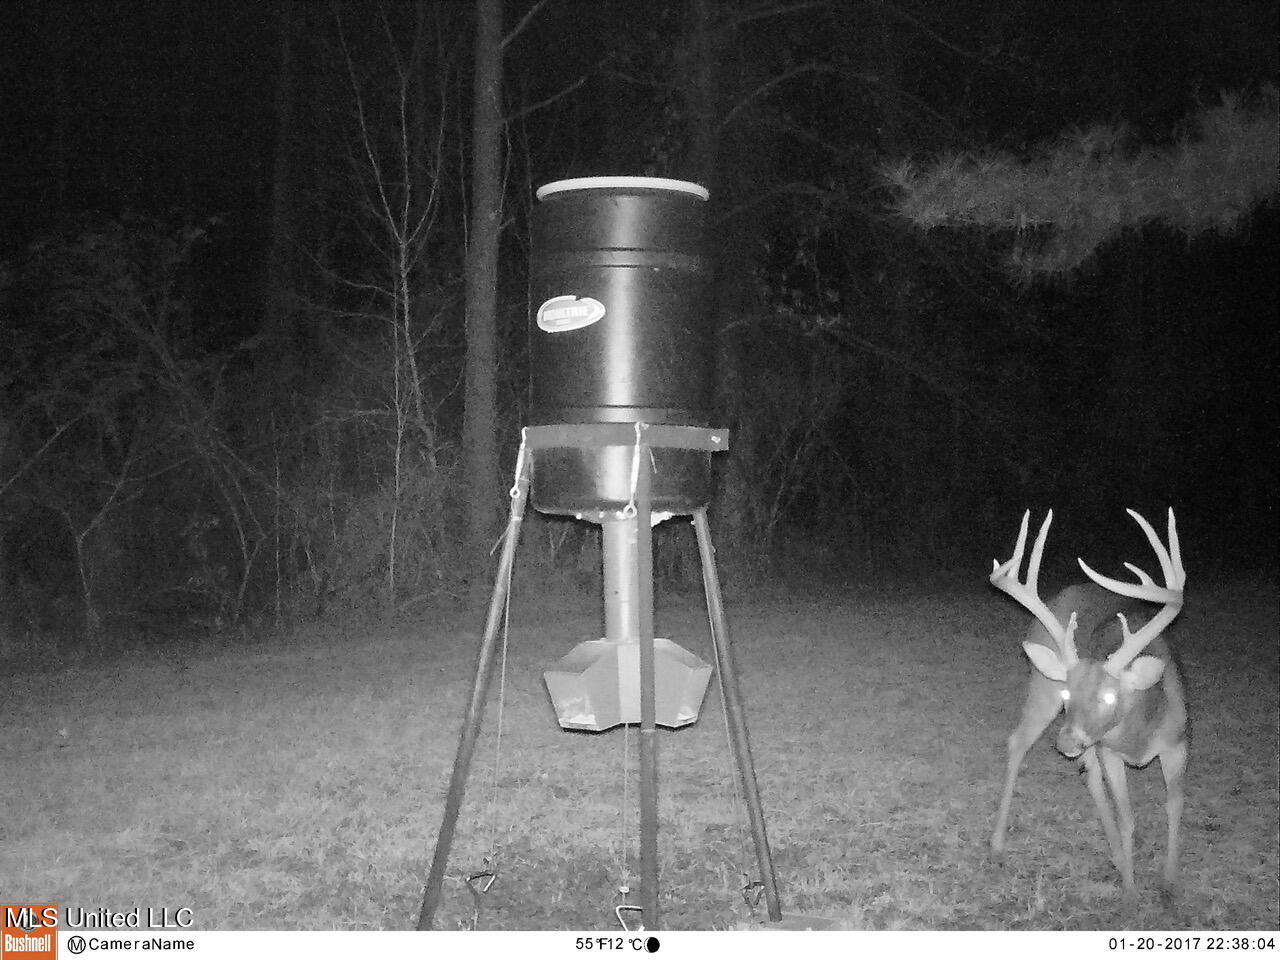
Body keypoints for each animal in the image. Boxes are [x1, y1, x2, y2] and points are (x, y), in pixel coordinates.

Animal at [988, 508, 1187, 905]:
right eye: (1069, 695)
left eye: (1109, 697)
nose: (1065, 742)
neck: (1140, 734)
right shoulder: (1108, 750)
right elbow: (1127, 817)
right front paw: (1131, 892)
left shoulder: (1179, 742)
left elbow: (1174, 804)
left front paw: (1169, 883)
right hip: (1042, 689)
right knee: (1018, 742)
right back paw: (997, 843)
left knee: (1088, 774)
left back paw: (1114, 854)